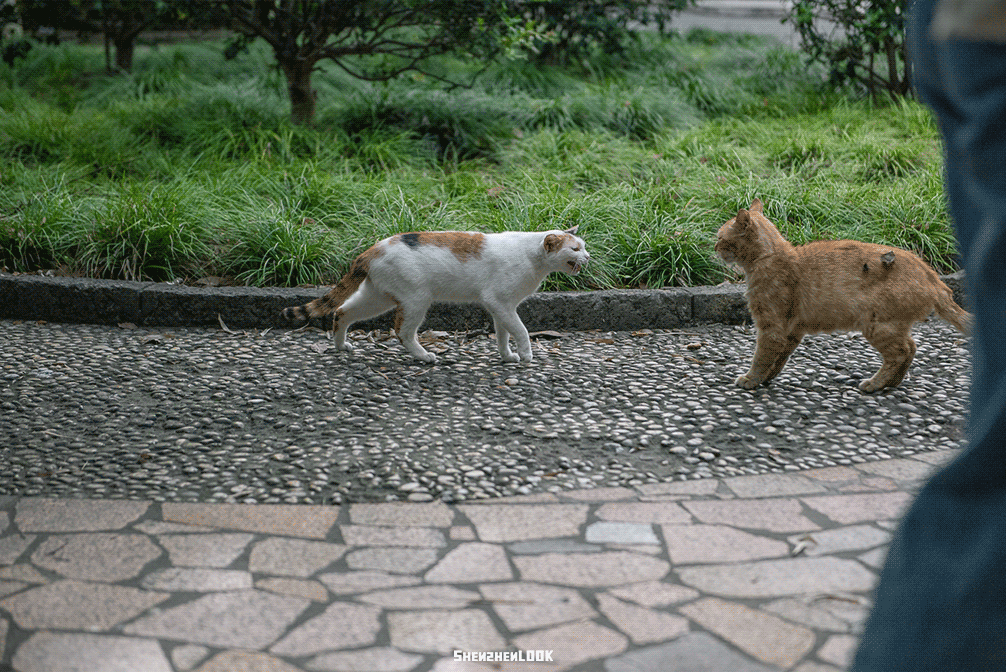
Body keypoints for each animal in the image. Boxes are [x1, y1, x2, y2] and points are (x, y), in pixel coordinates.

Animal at [283, 227, 587, 364]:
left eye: (583, 246)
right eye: (574, 249)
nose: (588, 256)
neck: (532, 257)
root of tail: (373, 248)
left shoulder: (502, 306)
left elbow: (503, 333)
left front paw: (507, 355)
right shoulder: (498, 301)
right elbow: (521, 330)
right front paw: (526, 353)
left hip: (376, 297)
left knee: (341, 311)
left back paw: (340, 346)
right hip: (416, 299)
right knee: (401, 331)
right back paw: (423, 355)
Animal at [712, 197, 969, 390]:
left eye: (720, 237)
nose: (713, 247)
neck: (771, 257)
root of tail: (933, 277)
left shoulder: (771, 327)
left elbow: (761, 357)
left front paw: (751, 379)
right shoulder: (792, 331)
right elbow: (778, 360)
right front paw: (766, 379)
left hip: (878, 326)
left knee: (901, 352)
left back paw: (875, 384)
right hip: (891, 325)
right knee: (912, 348)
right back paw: (892, 383)